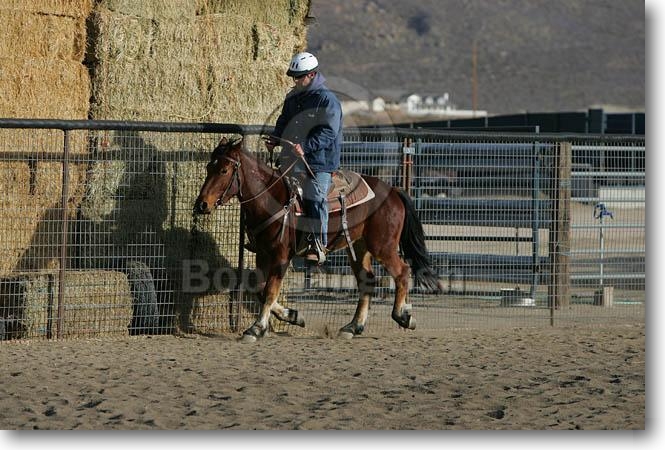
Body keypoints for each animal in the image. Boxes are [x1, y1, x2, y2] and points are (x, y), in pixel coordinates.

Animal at [194, 137, 442, 342]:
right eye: (208, 167)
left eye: (224, 170)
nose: (202, 204)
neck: (272, 198)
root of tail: (393, 191)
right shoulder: (263, 254)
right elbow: (260, 289)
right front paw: (292, 315)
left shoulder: (282, 256)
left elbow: (271, 290)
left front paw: (257, 328)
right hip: (359, 247)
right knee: (367, 281)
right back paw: (353, 327)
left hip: (383, 245)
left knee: (402, 271)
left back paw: (403, 316)